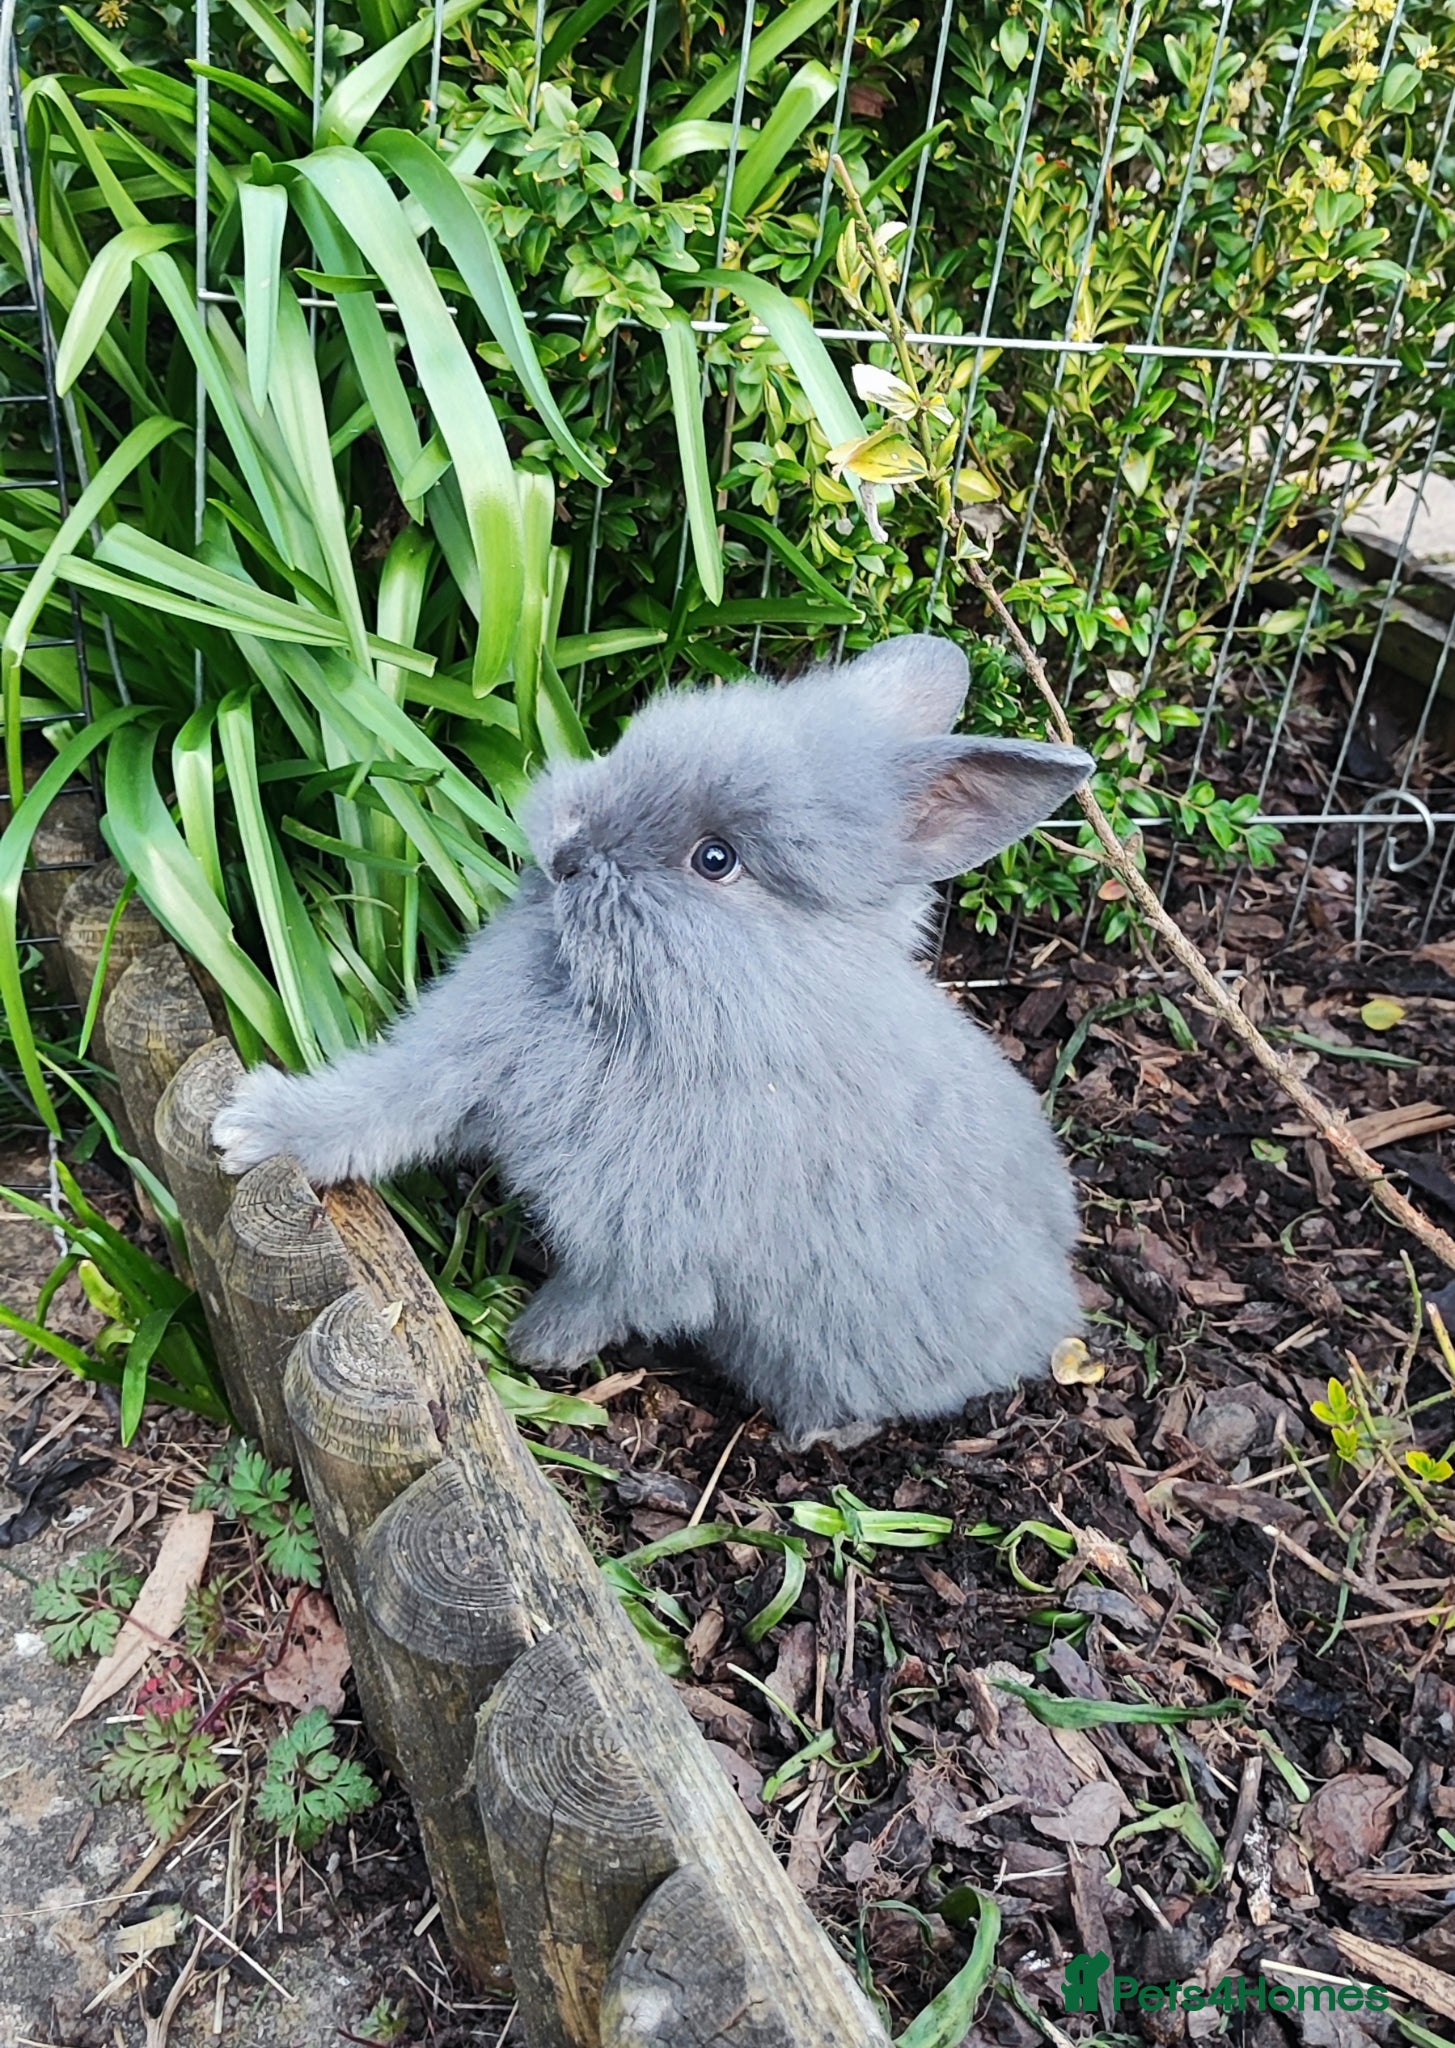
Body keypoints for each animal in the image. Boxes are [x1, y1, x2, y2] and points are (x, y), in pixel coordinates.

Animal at [212, 634, 1092, 1447]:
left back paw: (820, 1432)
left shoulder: (652, 1245)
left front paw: (530, 1345)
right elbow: (366, 1115)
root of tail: (1055, 1310)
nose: (568, 854)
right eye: (629, 747)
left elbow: (602, 1298)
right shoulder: (451, 1072)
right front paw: (245, 1129)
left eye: (716, 859)